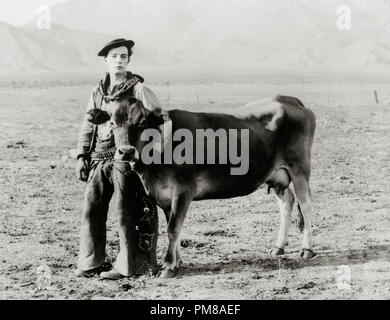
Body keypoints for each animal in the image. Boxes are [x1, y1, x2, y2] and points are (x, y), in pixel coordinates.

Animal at [87, 95, 316, 278]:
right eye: (113, 123)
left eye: (142, 123)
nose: (126, 152)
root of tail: (287, 99)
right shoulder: (164, 197)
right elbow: (174, 228)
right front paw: (177, 262)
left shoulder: (183, 190)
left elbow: (173, 229)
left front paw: (168, 267)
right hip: (276, 175)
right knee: (287, 203)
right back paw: (278, 247)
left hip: (299, 168)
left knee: (306, 205)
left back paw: (307, 249)